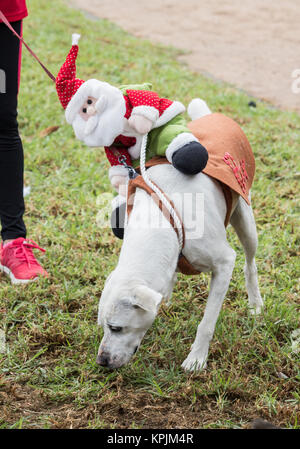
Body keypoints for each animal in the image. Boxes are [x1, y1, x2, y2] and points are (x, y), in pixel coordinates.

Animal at [96, 102, 262, 372]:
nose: (101, 361)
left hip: (246, 220)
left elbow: (207, 322)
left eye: (116, 328)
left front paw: (197, 358)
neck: (162, 219)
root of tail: (210, 116)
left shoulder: (224, 262)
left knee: (250, 264)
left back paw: (256, 303)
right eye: (103, 326)